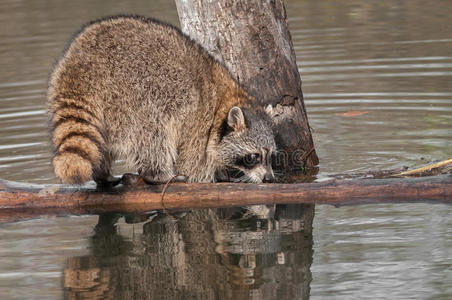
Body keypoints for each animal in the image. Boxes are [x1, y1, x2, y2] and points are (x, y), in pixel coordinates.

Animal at [48, 15, 276, 185]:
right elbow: (192, 163)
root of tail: (77, 69)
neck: (223, 100)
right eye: (252, 157)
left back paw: (102, 174)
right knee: (153, 134)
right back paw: (158, 174)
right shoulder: (198, 121)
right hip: (133, 95)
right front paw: (213, 175)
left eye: (271, 156)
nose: (269, 178)